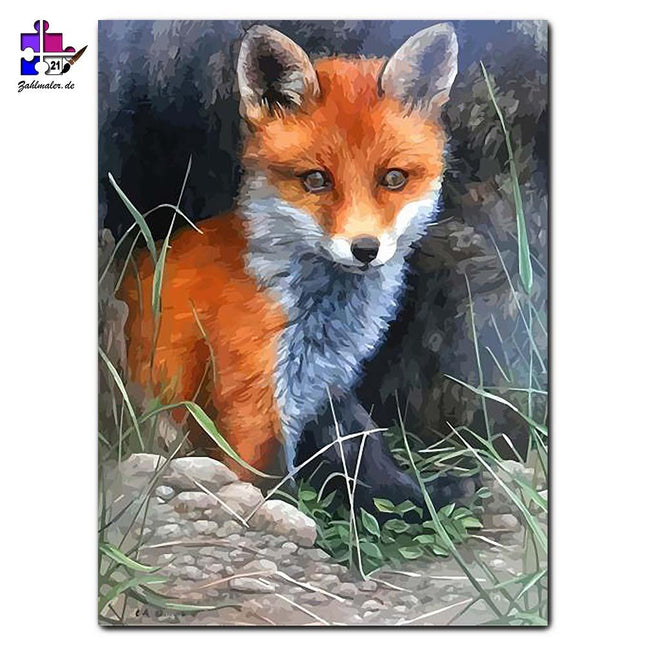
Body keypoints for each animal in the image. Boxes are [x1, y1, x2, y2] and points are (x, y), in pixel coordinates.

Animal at [120, 23, 467, 513]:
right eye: (316, 180)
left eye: (394, 179)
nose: (365, 249)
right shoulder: (252, 399)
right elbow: (268, 483)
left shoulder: (330, 383)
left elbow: (367, 449)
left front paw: (420, 497)